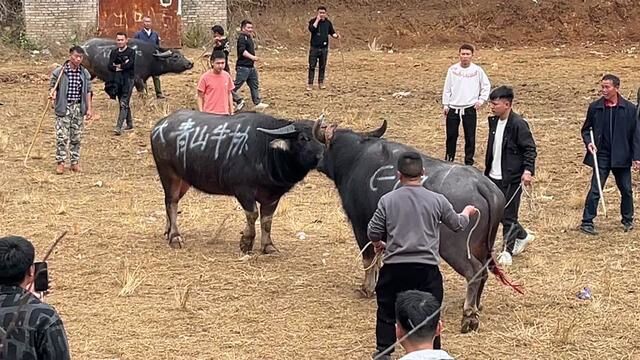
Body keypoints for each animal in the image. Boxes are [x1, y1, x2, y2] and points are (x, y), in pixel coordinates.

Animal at [151, 109, 324, 253]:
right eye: (303, 138)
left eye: (322, 137)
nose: (322, 156)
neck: (267, 151)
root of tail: (159, 126)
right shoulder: (243, 191)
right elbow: (253, 214)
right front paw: (246, 242)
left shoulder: (273, 197)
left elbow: (267, 221)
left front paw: (268, 246)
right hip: (169, 174)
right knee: (171, 201)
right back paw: (175, 237)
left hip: (184, 181)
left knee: (170, 202)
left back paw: (168, 231)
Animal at [312, 119, 524, 334]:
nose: (318, 161)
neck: (355, 157)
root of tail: (483, 185)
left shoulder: (362, 225)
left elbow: (369, 259)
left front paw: (367, 288)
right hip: (481, 246)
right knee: (484, 272)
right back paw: (477, 305)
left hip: (454, 247)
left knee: (474, 272)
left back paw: (469, 316)